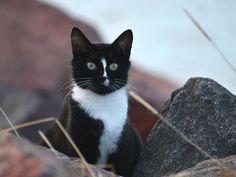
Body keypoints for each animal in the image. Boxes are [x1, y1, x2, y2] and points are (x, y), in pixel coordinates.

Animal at [42, 27, 140, 177]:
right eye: (91, 65)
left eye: (113, 66)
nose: (103, 78)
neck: (102, 103)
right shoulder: (77, 135)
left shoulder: (124, 143)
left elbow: (123, 166)